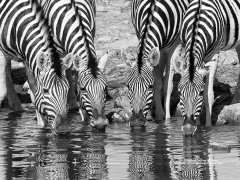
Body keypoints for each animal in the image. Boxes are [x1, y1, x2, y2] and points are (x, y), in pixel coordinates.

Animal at [172, 0, 240, 135]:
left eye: (200, 92)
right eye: (179, 92)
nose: (188, 130)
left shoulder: (214, 56)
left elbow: (209, 95)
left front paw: (207, 128)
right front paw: (198, 125)